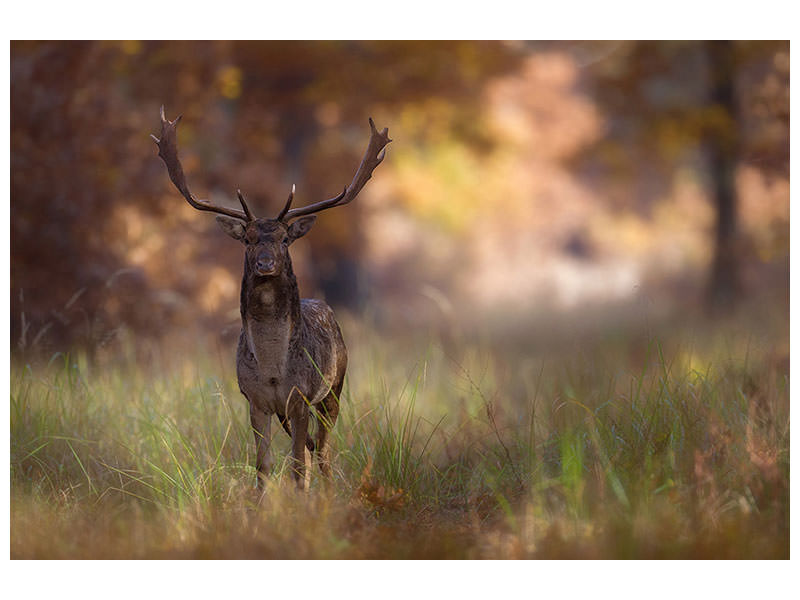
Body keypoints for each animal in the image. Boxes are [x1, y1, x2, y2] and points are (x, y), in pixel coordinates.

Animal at [152, 108, 390, 490]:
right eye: (248, 239)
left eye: (284, 239)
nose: (265, 264)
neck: (273, 370)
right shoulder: (255, 400)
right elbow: (263, 465)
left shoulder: (301, 396)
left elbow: (298, 465)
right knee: (313, 449)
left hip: (335, 387)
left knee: (322, 452)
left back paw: (328, 491)